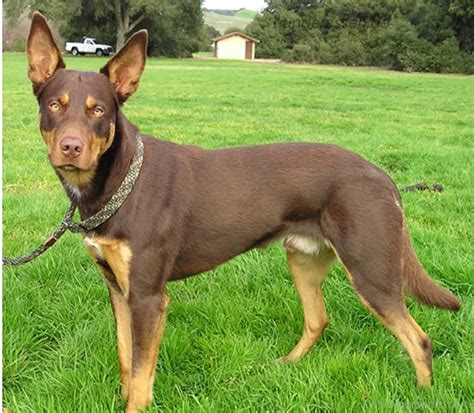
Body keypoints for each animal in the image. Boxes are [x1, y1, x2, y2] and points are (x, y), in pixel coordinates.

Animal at [25, 11, 460, 410]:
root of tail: (384, 177)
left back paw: (423, 397)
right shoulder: (117, 288)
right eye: (54, 105)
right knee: (318, 319)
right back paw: (288, 364)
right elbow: (125, 360)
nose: (70, 147)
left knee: (419, 340)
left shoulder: (148, 297)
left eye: (99, 111)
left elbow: (141, 378)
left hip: (371, 272)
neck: (117, 182)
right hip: (303, 259)